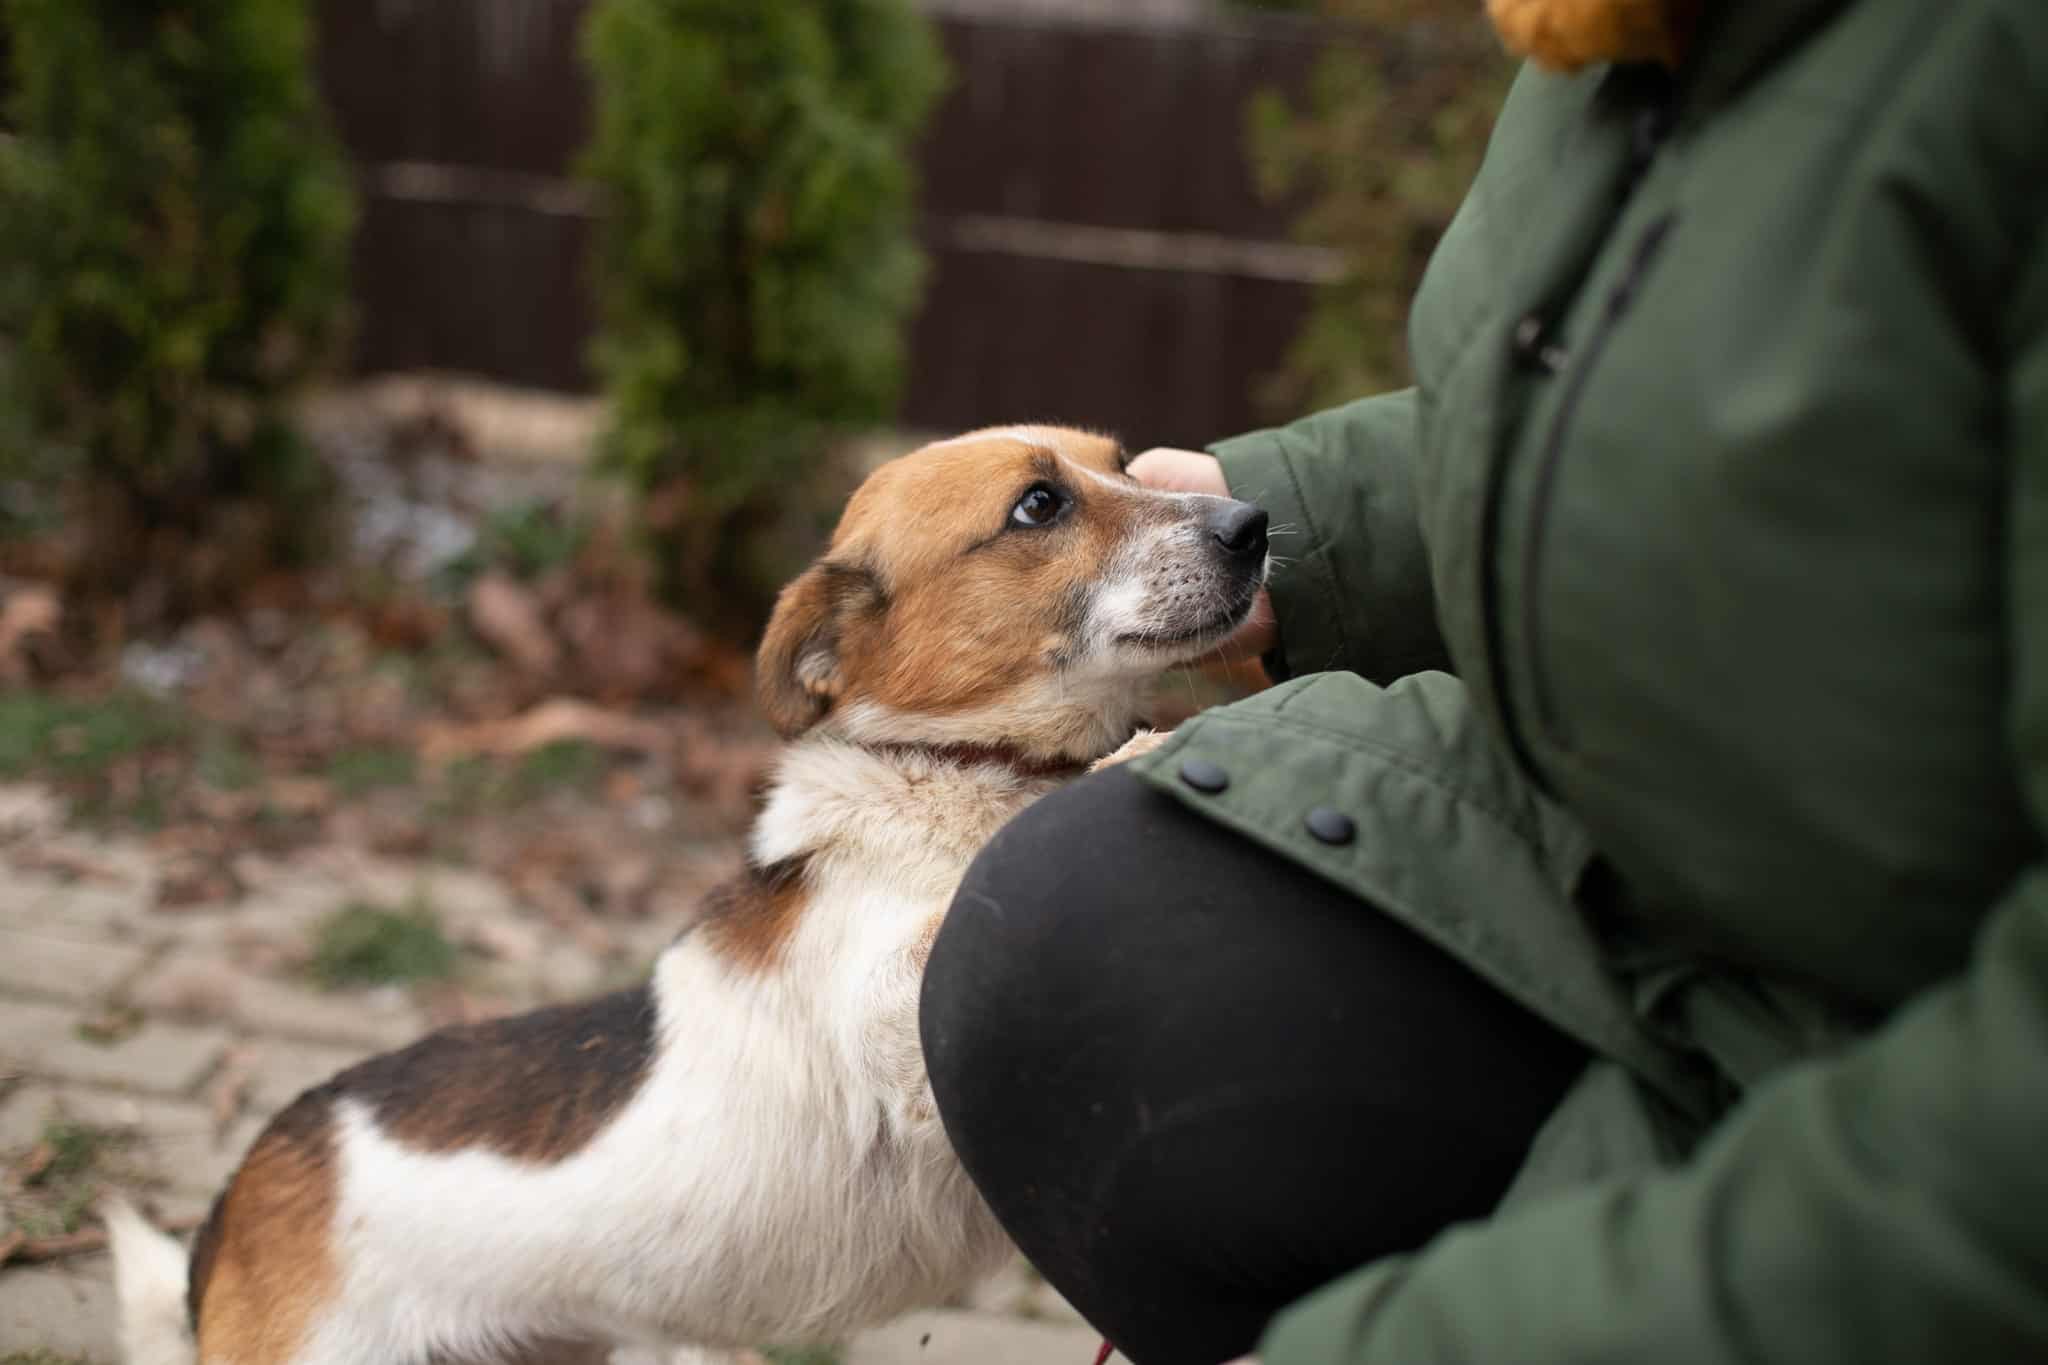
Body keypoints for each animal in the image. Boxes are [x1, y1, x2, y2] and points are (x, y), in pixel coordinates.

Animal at [107, 424, 1270, 1365]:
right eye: (1038, 505)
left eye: (1126, 464)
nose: (1251, 523)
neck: (962, 766)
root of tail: (239, 1191)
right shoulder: (895, 1020)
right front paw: (1153, 751)